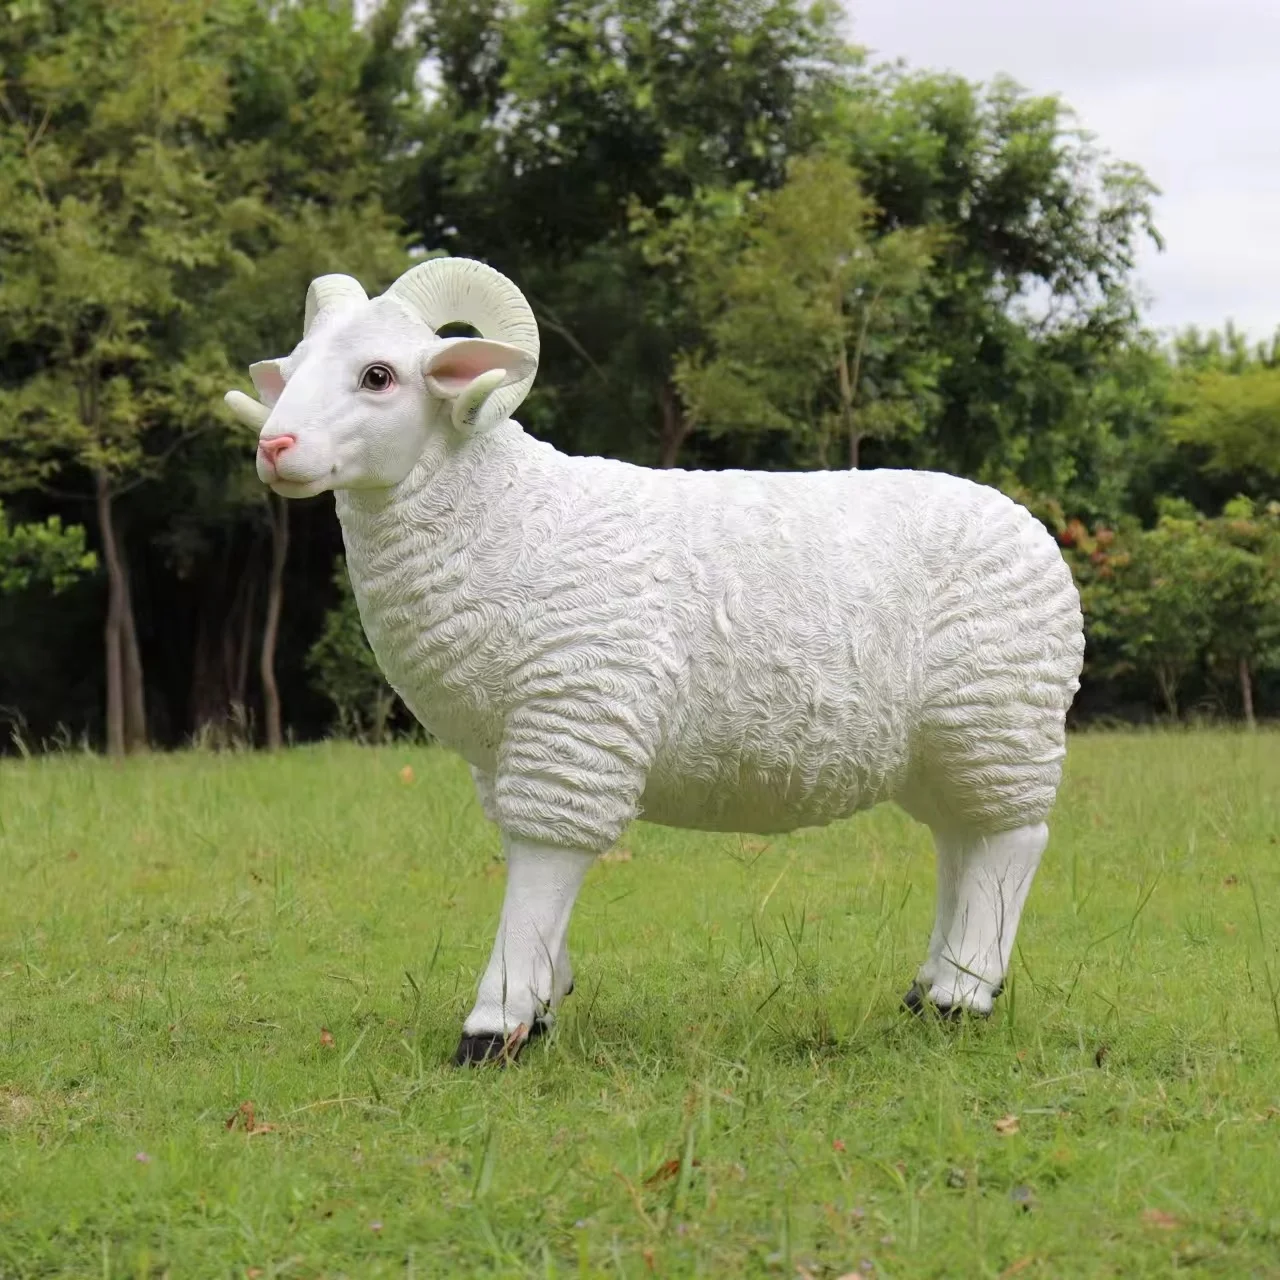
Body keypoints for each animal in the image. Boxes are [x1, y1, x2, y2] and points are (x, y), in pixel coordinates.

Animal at [225, 256, 1086, 1065]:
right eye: (292, 367)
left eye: (380, 375)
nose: (275, 448)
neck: (505, 515)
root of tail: (1029, 527)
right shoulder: (512, 744)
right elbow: (530, 865)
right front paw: (543, 1002)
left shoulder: (574, 718)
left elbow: (543, 863)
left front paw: (495, 1026)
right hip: (946, 743)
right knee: (960, 842)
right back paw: (928, 988)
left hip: (999, 712)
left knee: (1011, 845)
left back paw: (961, 998)